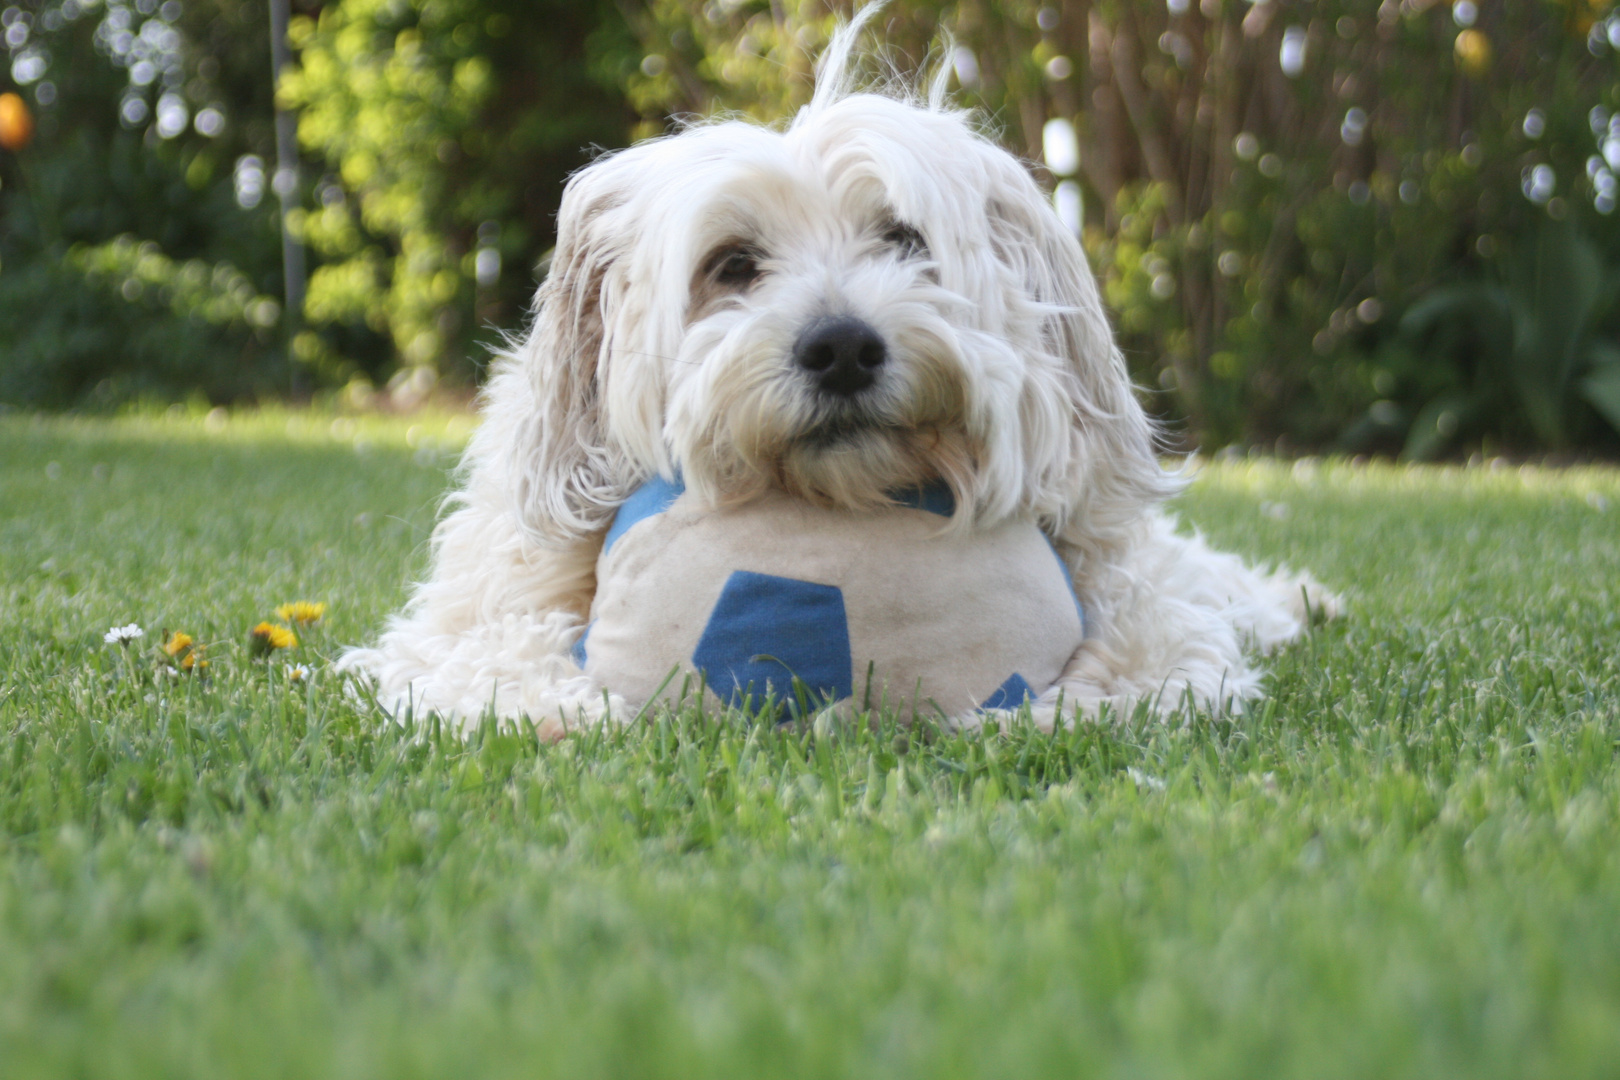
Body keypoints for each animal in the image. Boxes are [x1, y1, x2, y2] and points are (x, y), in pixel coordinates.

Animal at [338, 16, 1328, 738]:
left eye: (903, 238)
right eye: (733, 265)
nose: (843, 348)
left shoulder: (1137, 607)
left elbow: (1145, 664)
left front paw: (1037, 715)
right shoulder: (471, 614)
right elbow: (490, 661)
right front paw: (562, 707)